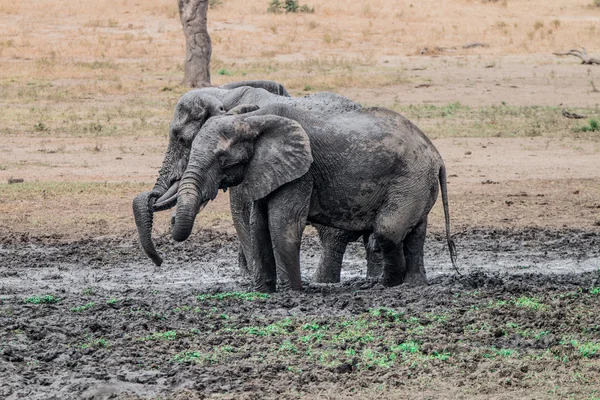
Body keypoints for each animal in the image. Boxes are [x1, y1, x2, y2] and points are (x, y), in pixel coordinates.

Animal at [131, 80, 380, 282]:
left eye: (182, 139)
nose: (160, 261)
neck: (222, 94)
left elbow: (241, 213)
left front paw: (251, 277)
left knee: (332, 238)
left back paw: (323, 282)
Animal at [168, 102, 454, 290]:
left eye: (223, 160)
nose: (171, 221)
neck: (253, 119)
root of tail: (436, 154)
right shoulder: (267, 169)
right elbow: (258, 226)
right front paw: (264, 292)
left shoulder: (302, 173)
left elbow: (282, 225)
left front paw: (292, 292)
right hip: (418, 183)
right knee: (415, 232)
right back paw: (414, 285)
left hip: (410, 179)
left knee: (388, 231)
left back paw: (386, 285)